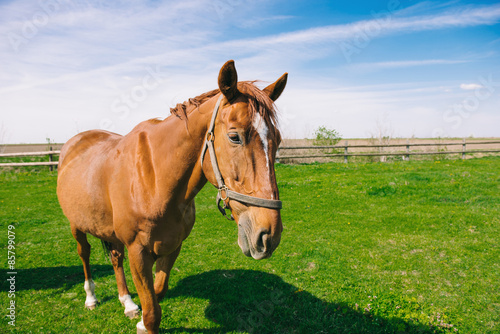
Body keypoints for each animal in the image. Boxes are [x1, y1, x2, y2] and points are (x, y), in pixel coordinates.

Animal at [56, 60, 288, 334]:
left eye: (278, 140)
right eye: (234, 136)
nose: (269, 235)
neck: (156, 180)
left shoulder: (172, 246)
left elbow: (156, 295)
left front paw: (139, 320)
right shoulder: (138, 252)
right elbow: (152, 312)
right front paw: (143, 322)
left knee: (115, 258)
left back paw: (127, 302)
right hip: (76, 226)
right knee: (84, 253)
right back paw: (91, 297)